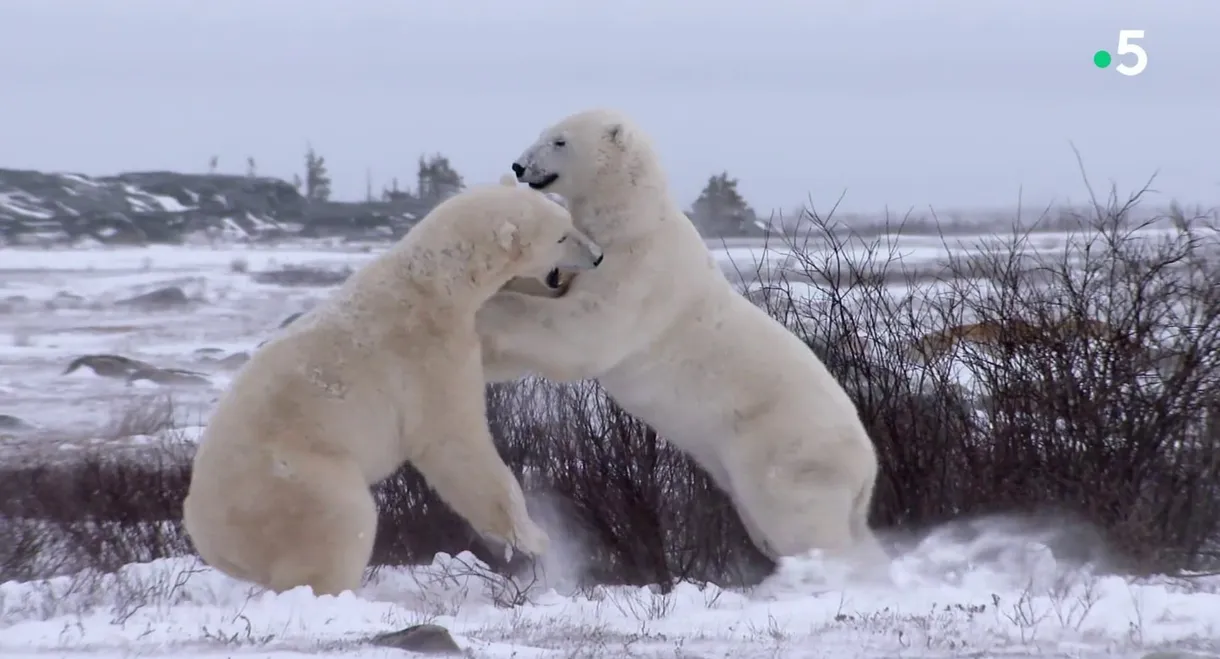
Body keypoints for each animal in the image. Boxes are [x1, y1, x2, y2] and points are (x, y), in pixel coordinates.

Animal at [183, 181, 602, 597]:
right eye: (562, 235)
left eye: (568, 219)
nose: (597, 256)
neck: (436, 281)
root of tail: (202, 527)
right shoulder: (427, 357)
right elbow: (454, 443)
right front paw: (533, 538)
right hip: (293, 479)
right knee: (344, 522)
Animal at [475, 108, 888, 566]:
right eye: (544, 133)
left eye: (560, 141)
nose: (519, 166)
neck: (633, 219)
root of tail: (868, 466)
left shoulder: (639, 273)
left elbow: (582, 334)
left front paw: (488, 314)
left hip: (789, 454)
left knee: (807, 527)